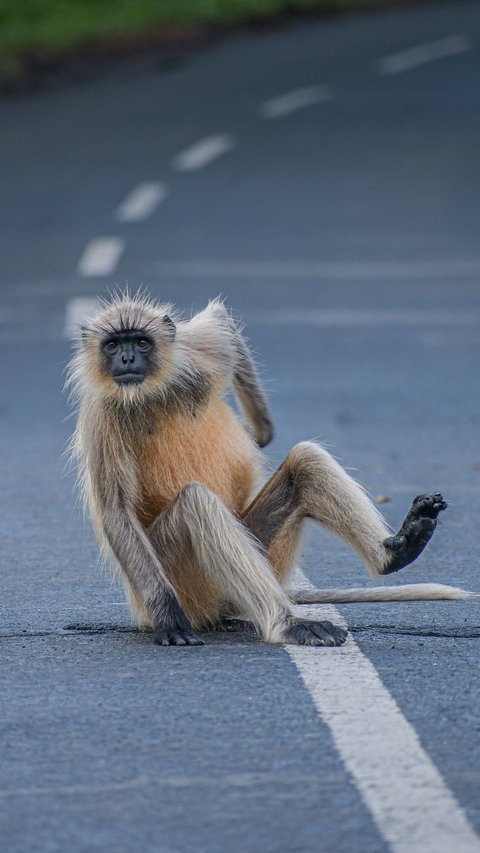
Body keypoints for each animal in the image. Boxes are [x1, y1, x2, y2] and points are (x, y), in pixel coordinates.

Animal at [66, 292, 472, 644]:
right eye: (113, 345)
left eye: (141, 342)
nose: (127, 359)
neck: (150, 394)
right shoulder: (102, 414)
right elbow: (116, 512)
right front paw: (168, 616)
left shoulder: (195, 352)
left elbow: (223, 325)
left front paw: (259, 433)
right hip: (182, 579)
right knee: (197, 504)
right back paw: (286, 623)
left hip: (261, 551)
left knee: (305, 462)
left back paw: (397, 551)